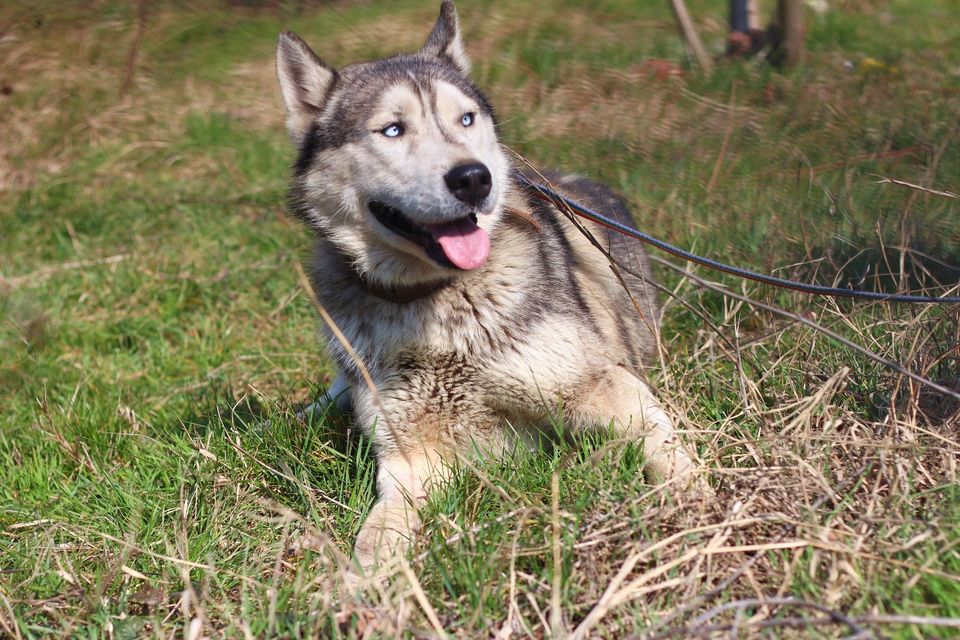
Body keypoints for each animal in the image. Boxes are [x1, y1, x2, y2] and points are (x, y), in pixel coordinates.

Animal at [276, 0, 696, 568]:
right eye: (392, 130)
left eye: (466, 119)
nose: (474, 178)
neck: (439, 302)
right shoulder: (410, 457)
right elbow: (378, 534)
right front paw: (359, 585)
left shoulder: (609, 387)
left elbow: (668, 454)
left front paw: (702, 510)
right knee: (334, 392)